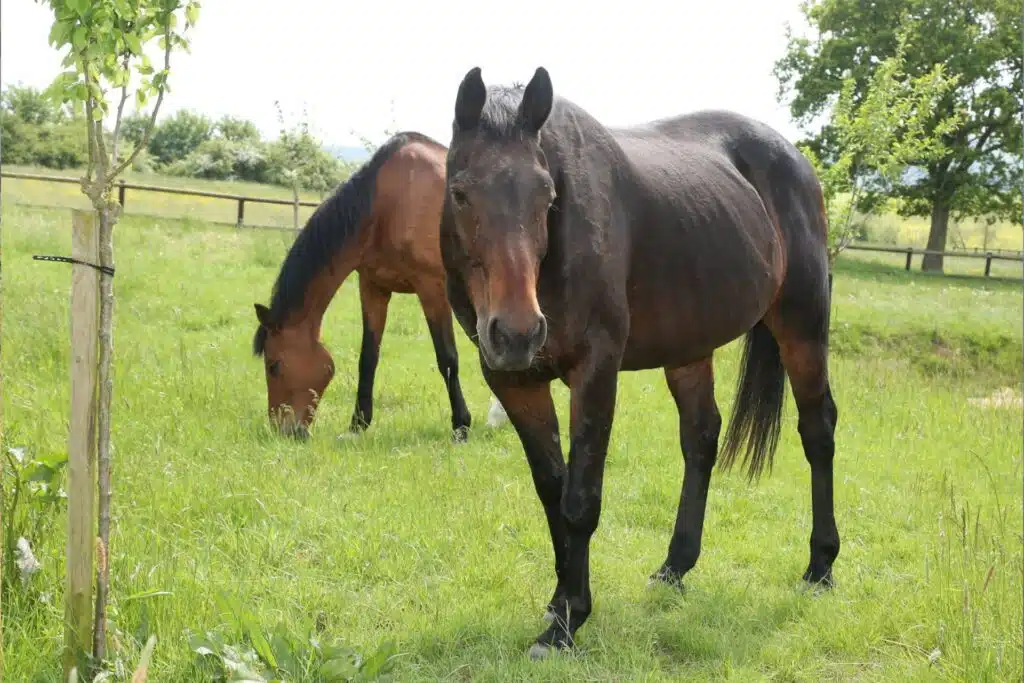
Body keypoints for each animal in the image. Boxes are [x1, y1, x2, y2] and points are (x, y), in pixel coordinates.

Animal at [252, 131, 474, 442]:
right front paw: (357, 425)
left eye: (274, 366)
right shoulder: (373, 287)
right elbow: (368, 357)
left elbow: (448, 359)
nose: (284, 431)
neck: (389, 203)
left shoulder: (432, 289)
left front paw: (461, 426)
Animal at [439, 66, 839, 658]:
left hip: (803, 331)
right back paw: (675, 568)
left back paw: (820, 567)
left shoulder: (596, 372)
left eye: (547, 193)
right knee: (701, 438)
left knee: (818, 432)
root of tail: (795, 159)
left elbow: (580, 499)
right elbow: (552, 490)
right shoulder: (512, 380)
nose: (517, 331)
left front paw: (566, 623)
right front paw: (559, 600)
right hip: (690, 348)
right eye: (460, 192)